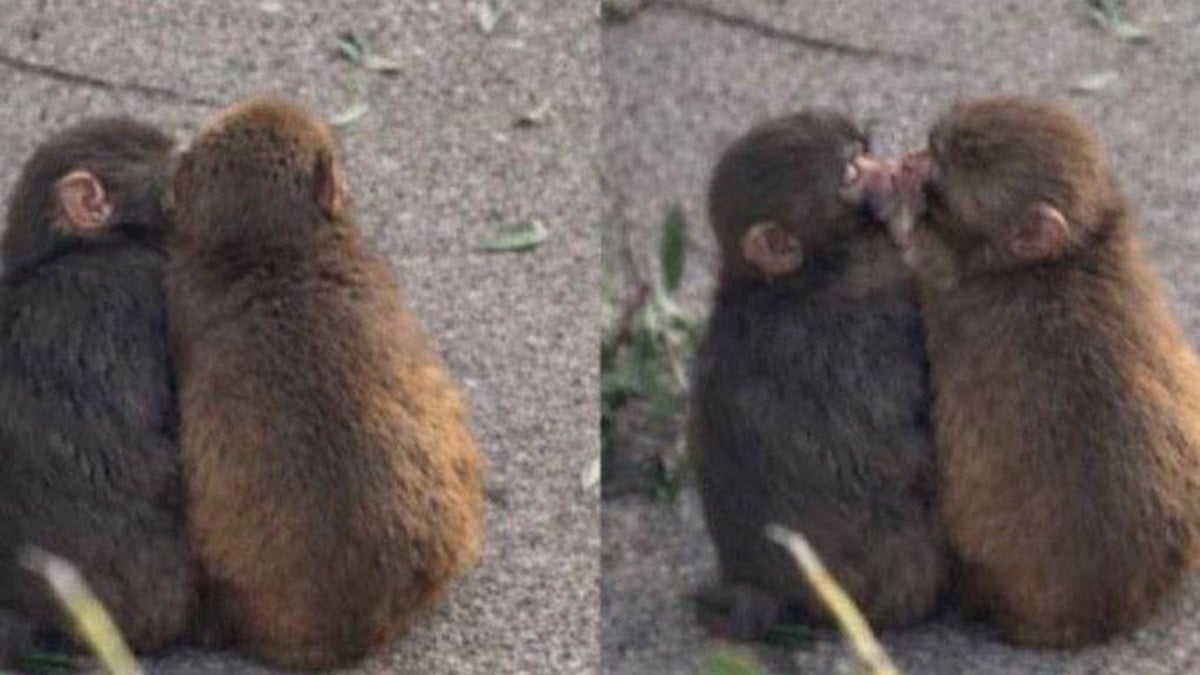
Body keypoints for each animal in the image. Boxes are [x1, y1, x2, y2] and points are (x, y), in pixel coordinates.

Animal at [688, 110, 951, 641]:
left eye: (865, 151)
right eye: (850, 172)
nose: (894, 170)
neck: (786, 281)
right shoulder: (866, 313)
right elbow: (907, 442)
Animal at [874, 96, 1200, 647]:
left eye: (946, 164)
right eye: (934, 147)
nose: (914, 158)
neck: (1064, 257)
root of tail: (1109, 613)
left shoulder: (954, 299)